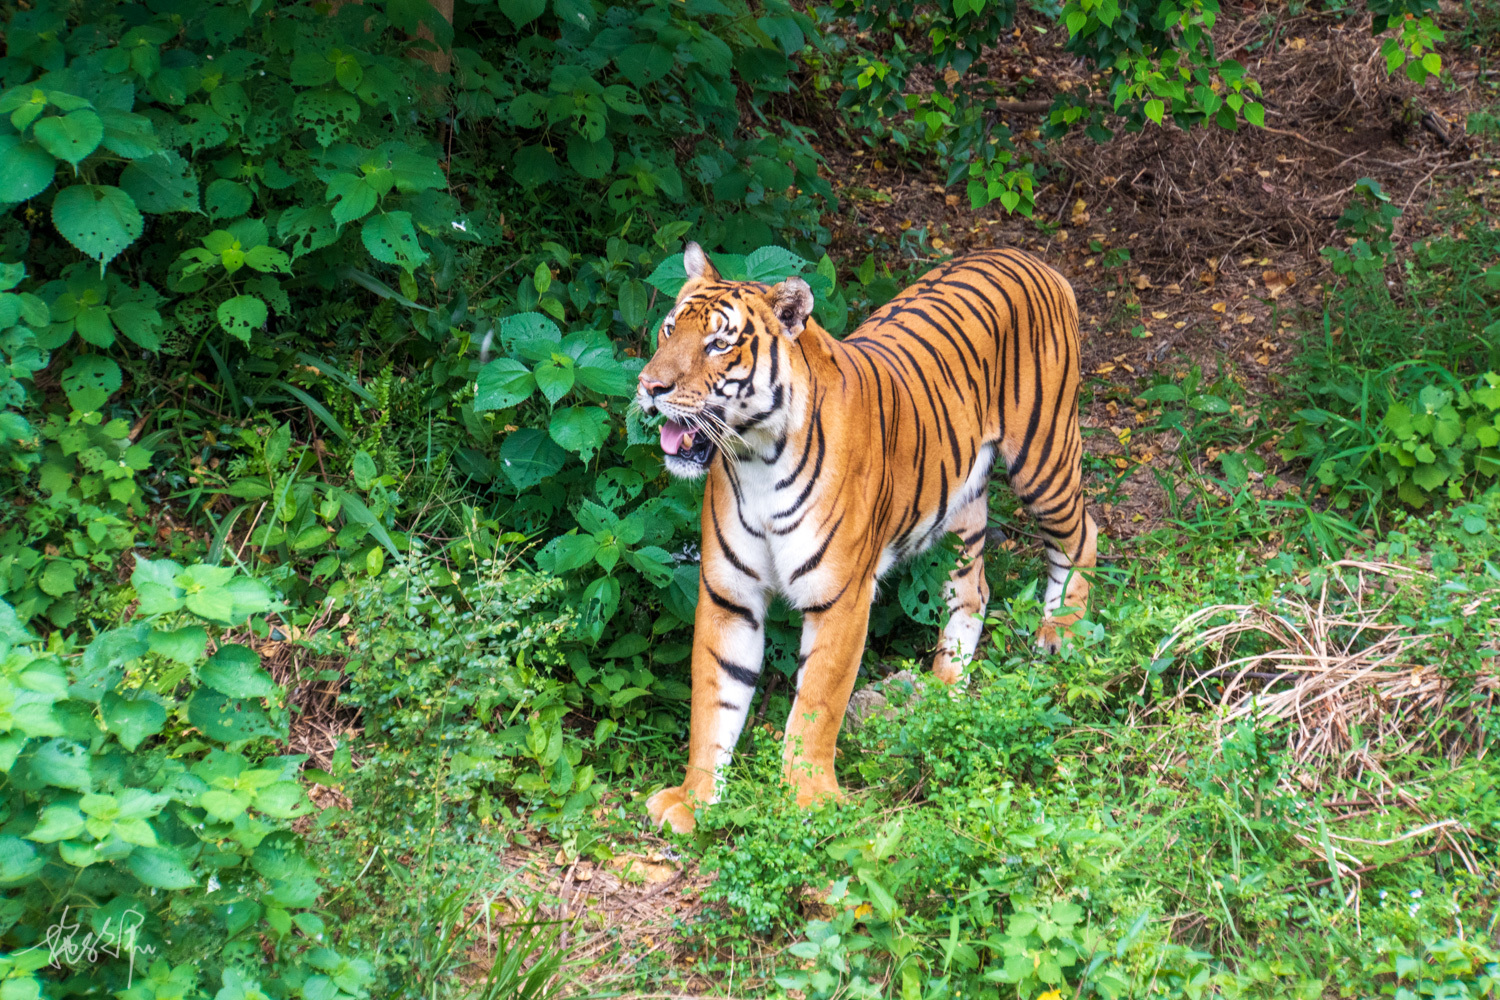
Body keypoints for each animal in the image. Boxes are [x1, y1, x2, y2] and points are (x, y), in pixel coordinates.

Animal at [636, 244, 1104, 839]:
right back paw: (942, 695)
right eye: (669, 329)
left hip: (1044, 458)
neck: (755, 455)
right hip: (960, 506)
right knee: (974, 589)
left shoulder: (840, 597)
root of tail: (1025, 254)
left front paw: (810, 800)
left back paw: (1061, 633)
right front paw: (694, 800)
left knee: (1082, 535)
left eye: (719, 344)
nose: (650, 388)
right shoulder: (728, 597)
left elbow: (817, 703)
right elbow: (713, 701)